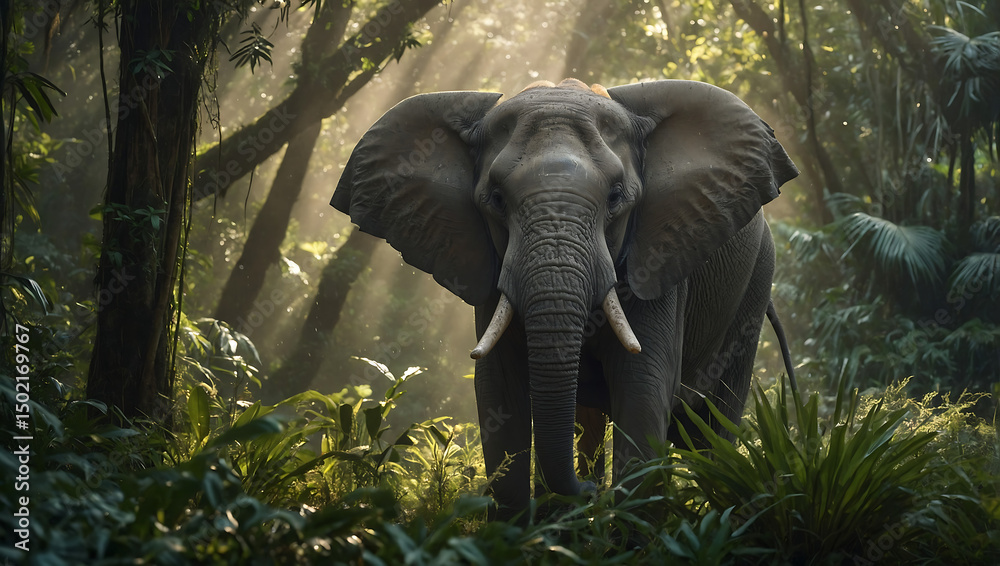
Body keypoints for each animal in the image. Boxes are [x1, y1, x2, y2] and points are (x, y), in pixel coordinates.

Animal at [331, 78, 799, 521]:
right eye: (495, 200)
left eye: (616, 197)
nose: (590, 494)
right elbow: (501, 396)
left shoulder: (658, 262)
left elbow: (643, 391)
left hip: (755, 285)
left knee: (711, 430)